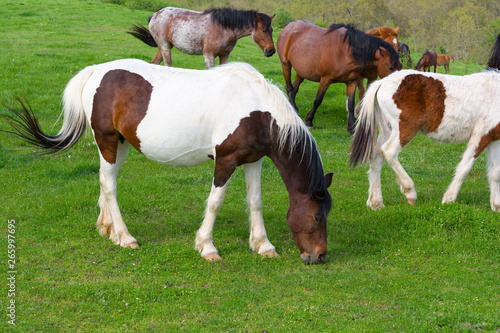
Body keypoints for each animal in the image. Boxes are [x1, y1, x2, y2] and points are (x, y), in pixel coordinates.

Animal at [127, 6, 276, 68]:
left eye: (272, 30)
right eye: (263, 30)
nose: (271, 51)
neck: (223, 29)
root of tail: (155, 15)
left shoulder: (224, 56)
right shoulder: (209, 55)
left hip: (164, 46)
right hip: (165, 47)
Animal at [350, 32, 500, 211]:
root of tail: (381, 82)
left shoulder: (494, 139)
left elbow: (495, 172)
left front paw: (496, 206)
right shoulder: (481, 135)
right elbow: (465, 167)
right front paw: (449, 199)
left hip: (387, 129)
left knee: (377, 155)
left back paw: (376, 203)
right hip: (405, 128)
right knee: (389, 151)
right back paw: (410, 192)